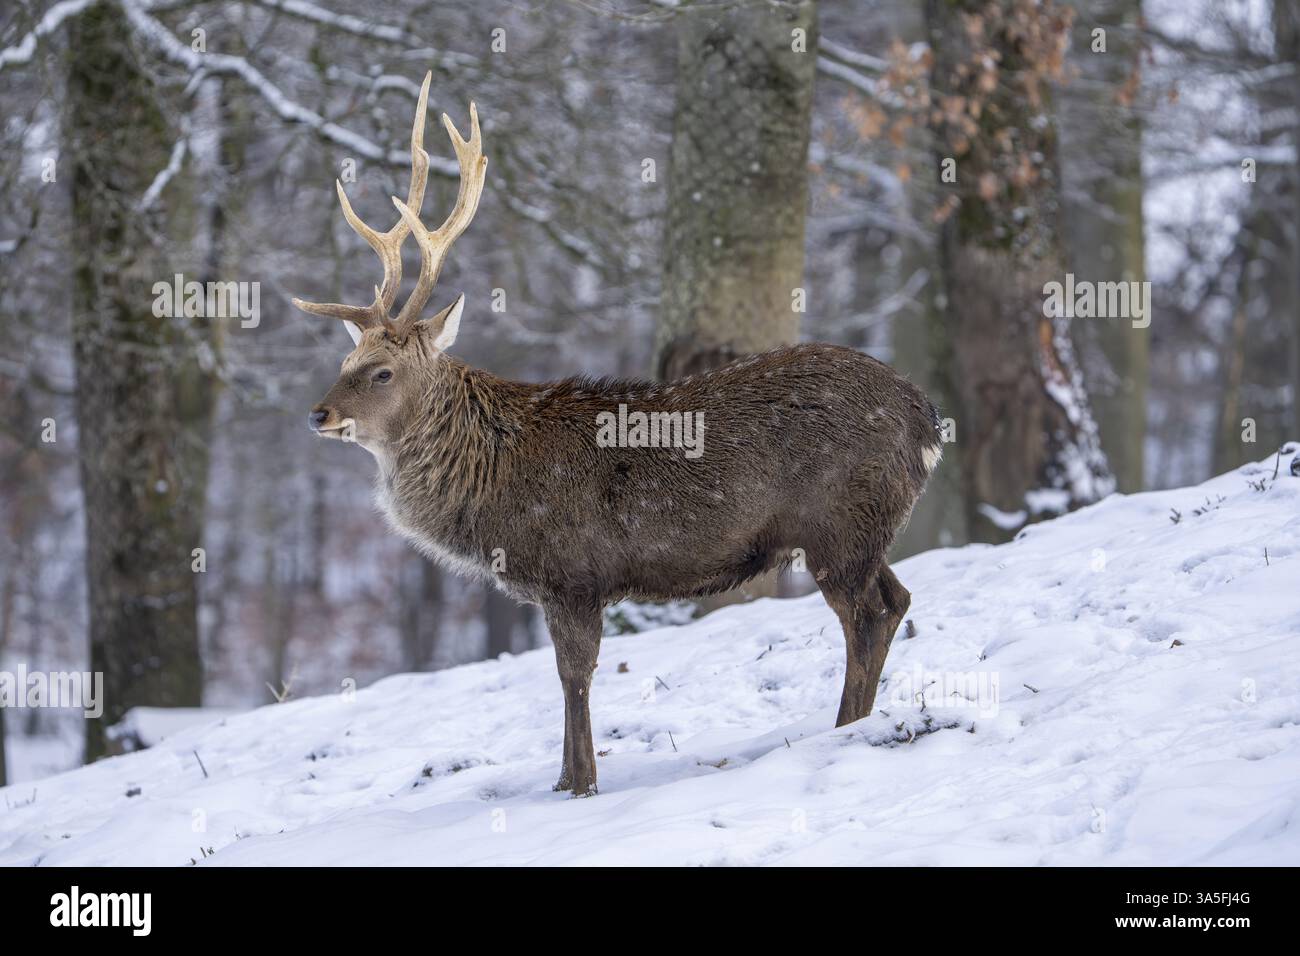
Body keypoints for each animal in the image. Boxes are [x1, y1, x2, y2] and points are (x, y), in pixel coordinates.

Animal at [295, 73, 943, 796]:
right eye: (345, 360)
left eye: (380, 372)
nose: (318, 414)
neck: (492, 487)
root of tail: (927, 419)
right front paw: (564, 780)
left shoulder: (574, 573)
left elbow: (573, 675)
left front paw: (579, 783)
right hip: (864, 529)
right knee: (896, 599)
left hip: (838, 522)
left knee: (865, 616)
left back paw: (845, 731)